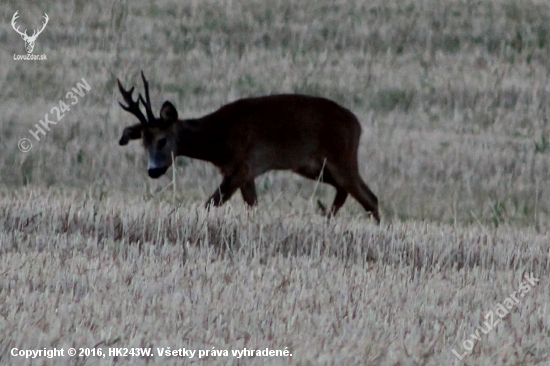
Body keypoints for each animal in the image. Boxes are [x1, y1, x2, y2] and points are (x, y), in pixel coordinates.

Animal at [118, 70, 382, 222]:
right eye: (144, 143)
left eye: (162, 140)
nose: (153, 170)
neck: (218, 139)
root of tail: (356, 124)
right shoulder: (246, 172)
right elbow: (252, 206)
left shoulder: (242, 166)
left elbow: (211, 203)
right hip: (315, 167)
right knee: (345, 192)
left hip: (342, 156)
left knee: (370, 197)